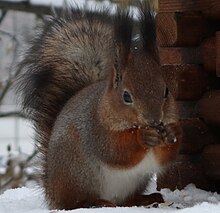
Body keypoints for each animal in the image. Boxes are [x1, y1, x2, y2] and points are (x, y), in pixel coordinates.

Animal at [17, 2, 181, 210]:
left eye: (166, 91)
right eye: (126, 96)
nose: (154, 120)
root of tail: (51, 192)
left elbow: (166, 156)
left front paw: (171, 133)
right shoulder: (95, 128)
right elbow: (114, 151)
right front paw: (143, 136)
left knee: (125, 201)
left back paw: (145, 198)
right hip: (76, 174)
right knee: (72, 203)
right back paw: (93, 202)